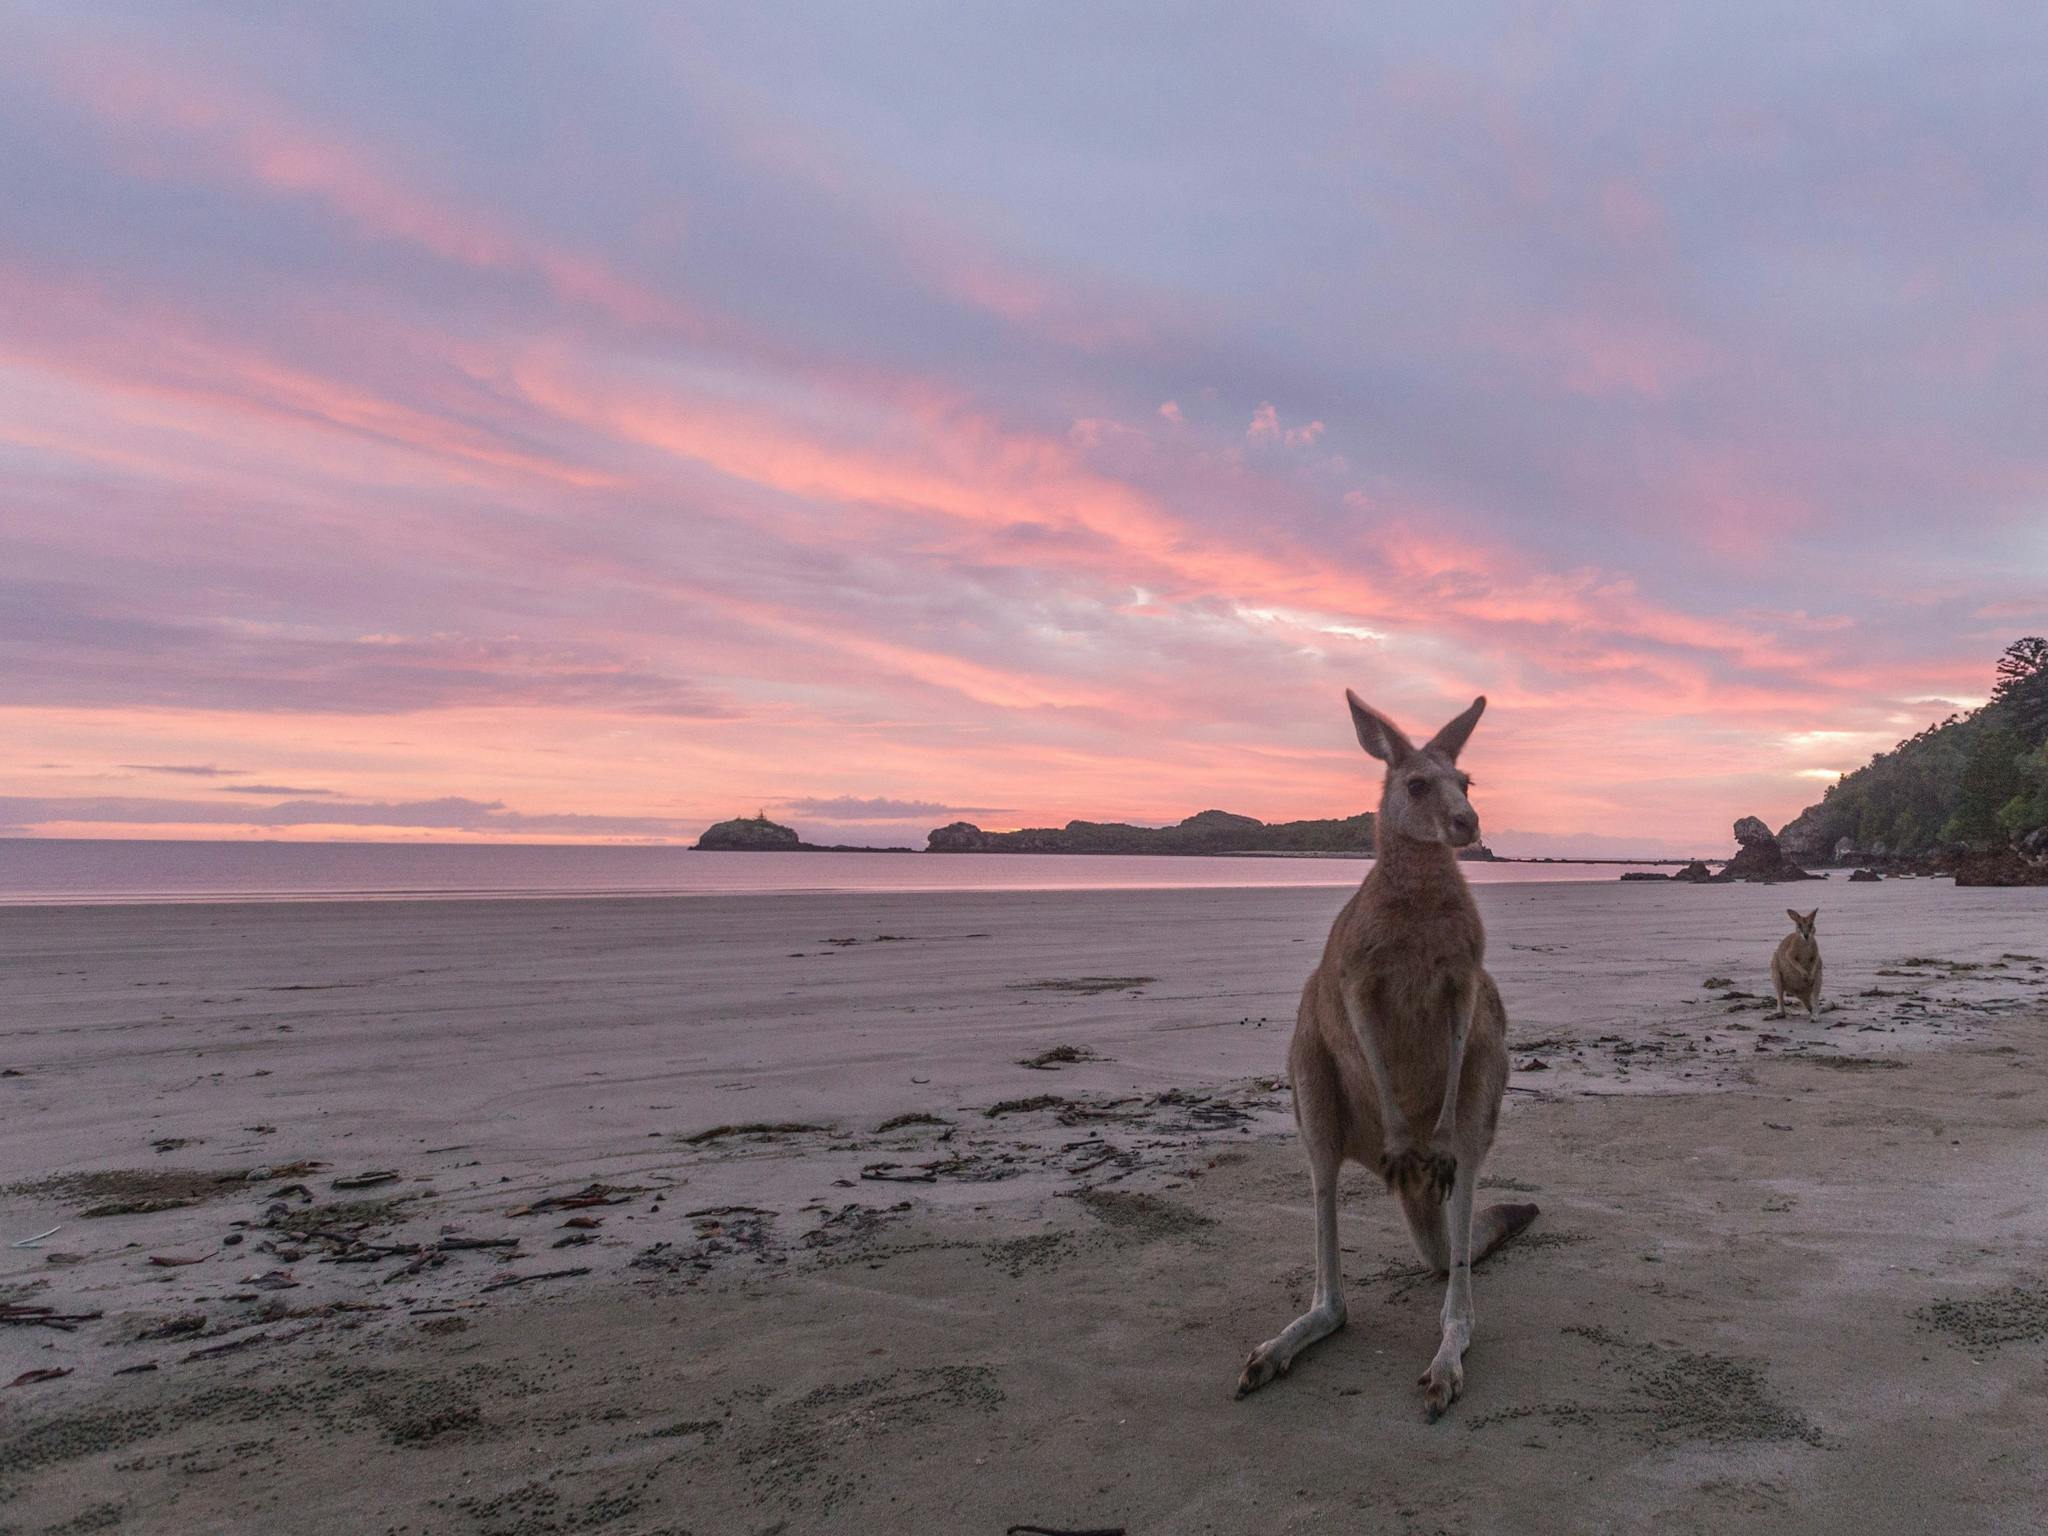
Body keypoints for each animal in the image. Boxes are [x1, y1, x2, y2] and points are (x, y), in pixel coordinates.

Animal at [1235, 690, 1539, 1421]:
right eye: (1418, 785)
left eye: (1468, 782)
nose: (1467, 823)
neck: (1421, 887)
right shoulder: (1355, 977)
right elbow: (1370, 1035)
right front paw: (1404, 1134)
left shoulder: (1464, 977)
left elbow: (1456, 1023)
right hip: (1312, 1080)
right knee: (1332, 1271)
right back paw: (1275, 1351)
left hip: (1485, 1081)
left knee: (1458, 1229)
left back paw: (1445, 1364)